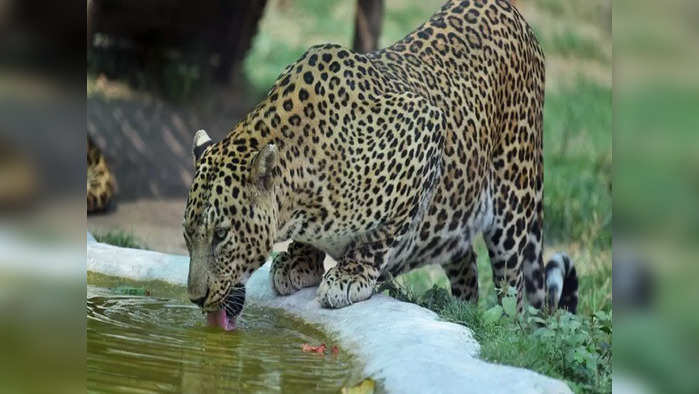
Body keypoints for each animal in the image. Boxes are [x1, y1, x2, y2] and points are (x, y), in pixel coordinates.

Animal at [182, 0, 580, 330]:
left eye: (221, 235)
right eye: (187, 236)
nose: (196, 299)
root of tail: (511, 12)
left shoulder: (426, 128)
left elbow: (380, 235)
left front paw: (349, 275)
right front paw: (299, 261)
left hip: (514, 198)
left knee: (514, 291)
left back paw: (507, 326)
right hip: (458, 209)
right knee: (465, 263)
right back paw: (461, 310)